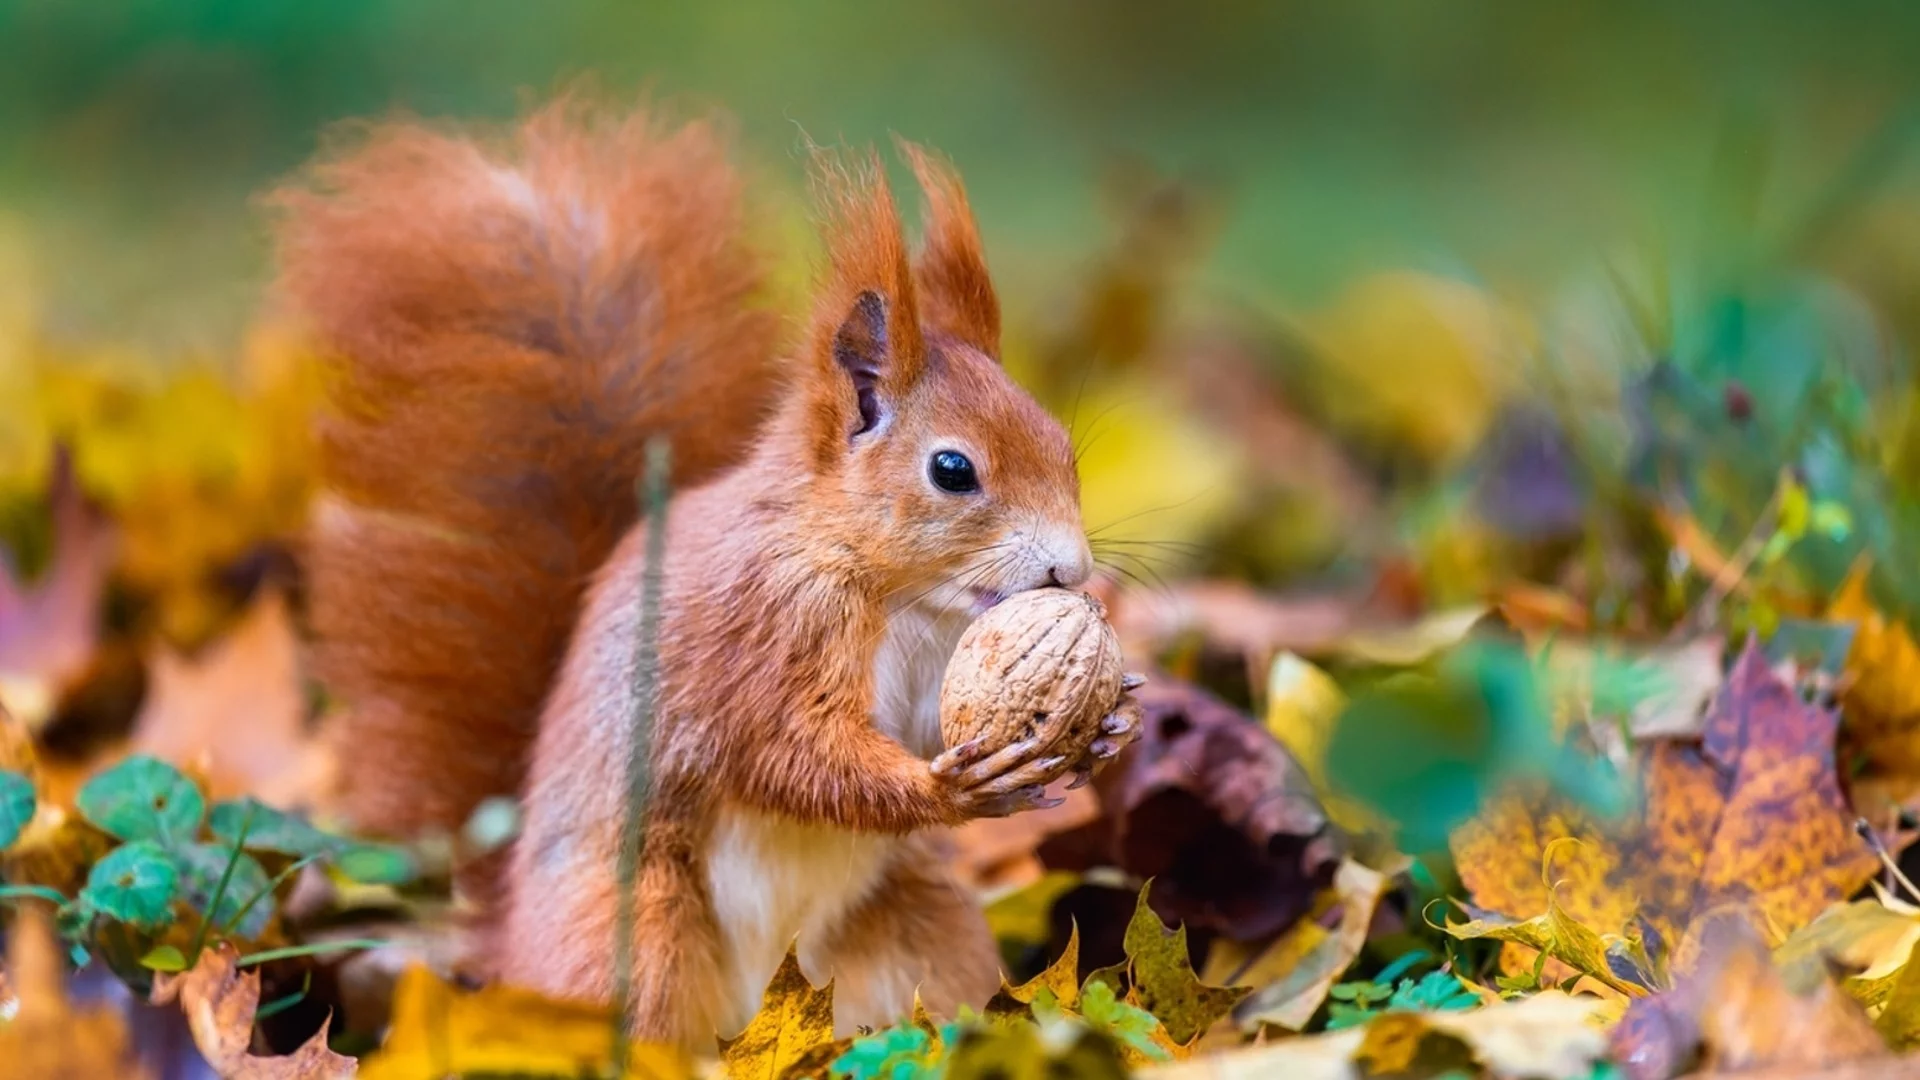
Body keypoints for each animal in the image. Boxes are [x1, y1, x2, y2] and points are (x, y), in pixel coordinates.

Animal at [270, 98, 1136, 1045]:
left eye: (1061, 442)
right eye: (952, 470)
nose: (1071, 570)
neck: (903, 597)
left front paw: (1109, 725)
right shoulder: (761, 634)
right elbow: (791, 756)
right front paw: (950, 787)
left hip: (919, 929)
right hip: (636, 932)